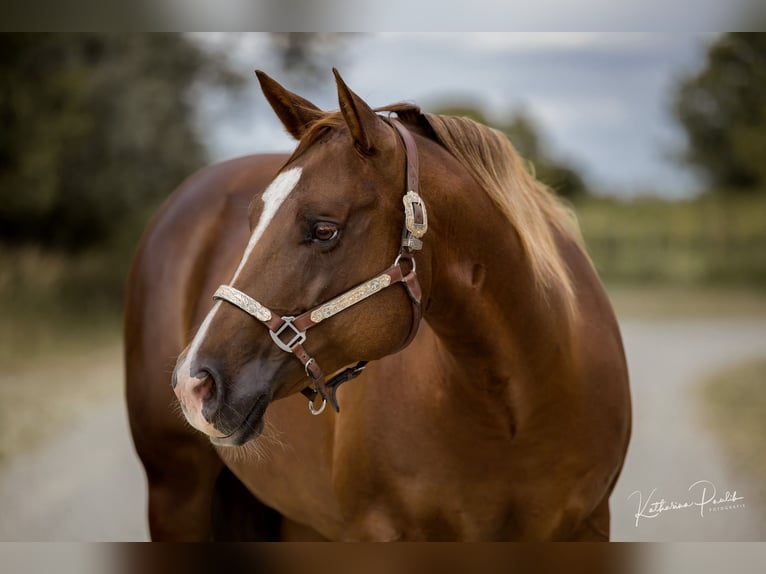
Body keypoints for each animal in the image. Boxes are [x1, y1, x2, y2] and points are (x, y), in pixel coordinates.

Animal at [124, 69, 631, 541]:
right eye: (252, 219)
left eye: (323, 229)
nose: (194, 383)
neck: (516, 411)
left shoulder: (590, 525)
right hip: (176, 494)